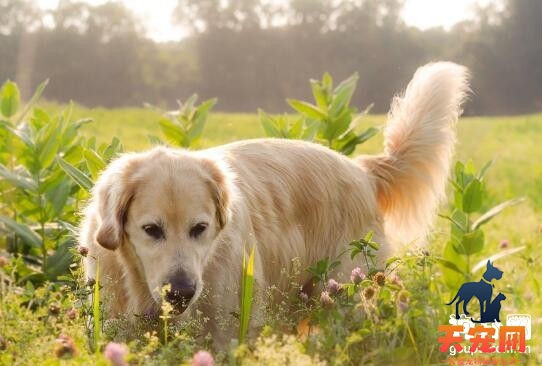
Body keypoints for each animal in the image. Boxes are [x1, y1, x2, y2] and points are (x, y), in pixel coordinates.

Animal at [81, 62, 472, 346]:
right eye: (151, 230)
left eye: (199, 229)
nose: (181, 293)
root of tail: (361, 170)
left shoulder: (227, 333)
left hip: (348, 295)